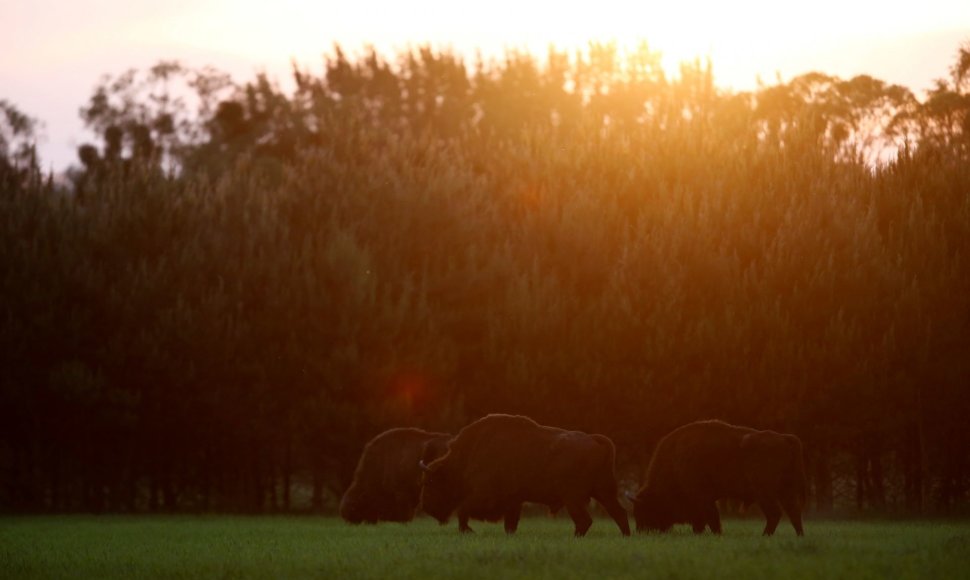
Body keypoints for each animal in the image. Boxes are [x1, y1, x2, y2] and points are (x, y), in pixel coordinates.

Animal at [416, 414, 628, 536]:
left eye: (430, 482)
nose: (425, 507)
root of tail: (595, 440)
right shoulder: (513, 501)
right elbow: (510, 524)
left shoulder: (484, 496)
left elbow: (463, 510)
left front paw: (467, 531)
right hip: (604, 493)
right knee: (619, 513)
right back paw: (626, 536)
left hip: (573, 498)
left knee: (585, 520)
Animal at [628, 420, 800, 536]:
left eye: (644, 510)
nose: (641, 531)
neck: (674, 462)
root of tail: (784, 438)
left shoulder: (703, 498)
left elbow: (711, 518)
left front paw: (716, 534)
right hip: (786, 491)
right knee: (794, 513)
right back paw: (799, 536)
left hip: (765, 493)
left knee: (775, 513)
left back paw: (765, 536)